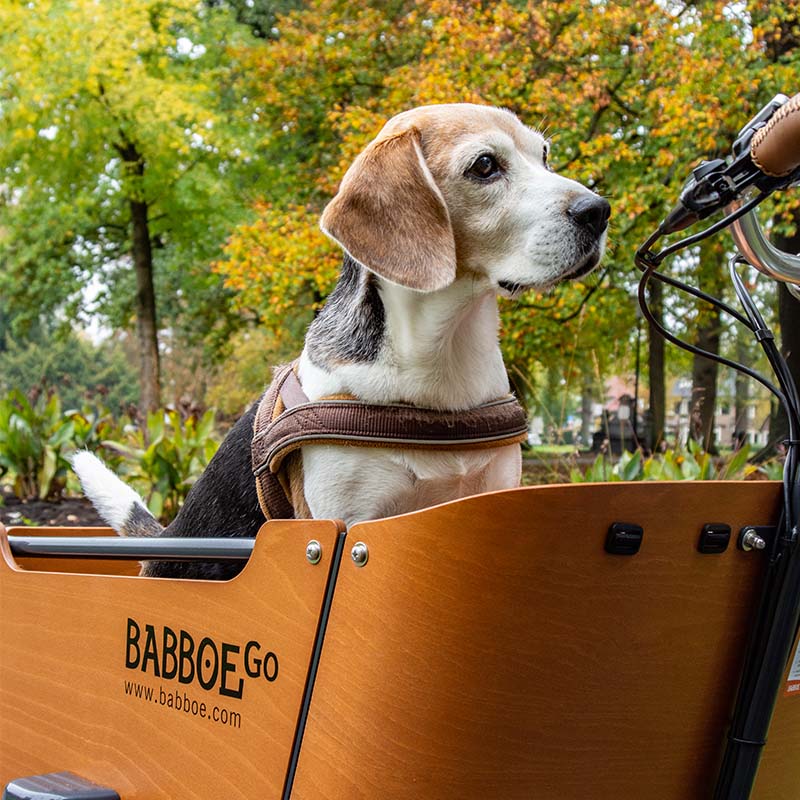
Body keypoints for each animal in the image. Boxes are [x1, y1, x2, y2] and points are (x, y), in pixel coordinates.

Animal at [76, 103, 612, 580]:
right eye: (484, 166)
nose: (599, 210)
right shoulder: (344, 524)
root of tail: (164, 539)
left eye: (544, 155)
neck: (444, 353)